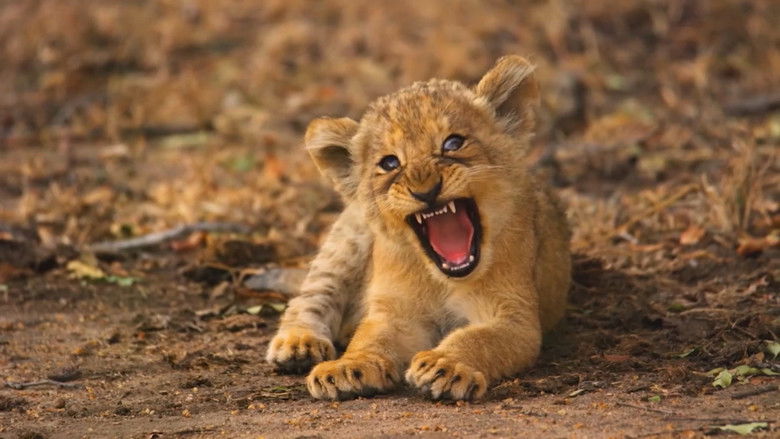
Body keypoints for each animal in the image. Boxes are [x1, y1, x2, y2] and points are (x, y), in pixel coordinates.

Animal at [266, 55, 571, 401]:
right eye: (389, 163)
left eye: (453, 143)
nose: (426, 191)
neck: (442, 279)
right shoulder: (396, 314)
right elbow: (370, 338)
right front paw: (347, 367)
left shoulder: (515, 317)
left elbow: (477, 339)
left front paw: (445, 366)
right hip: (347, 240)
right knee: (313, 294)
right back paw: (299, 345)